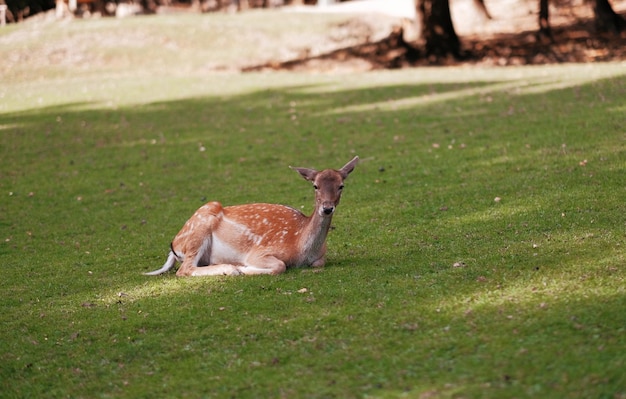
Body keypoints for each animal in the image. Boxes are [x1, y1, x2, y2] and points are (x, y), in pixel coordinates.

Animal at [142, 157, 356, 278]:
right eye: (315, 185)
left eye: (341, 185)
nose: (327, 208)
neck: (301, 248)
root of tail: (174, 245)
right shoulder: (260, 251)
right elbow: (280, 265)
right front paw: (242, 269)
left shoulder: (320, 259)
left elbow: (319, 263)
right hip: (198, 231)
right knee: (184, 270)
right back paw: (230, 269)